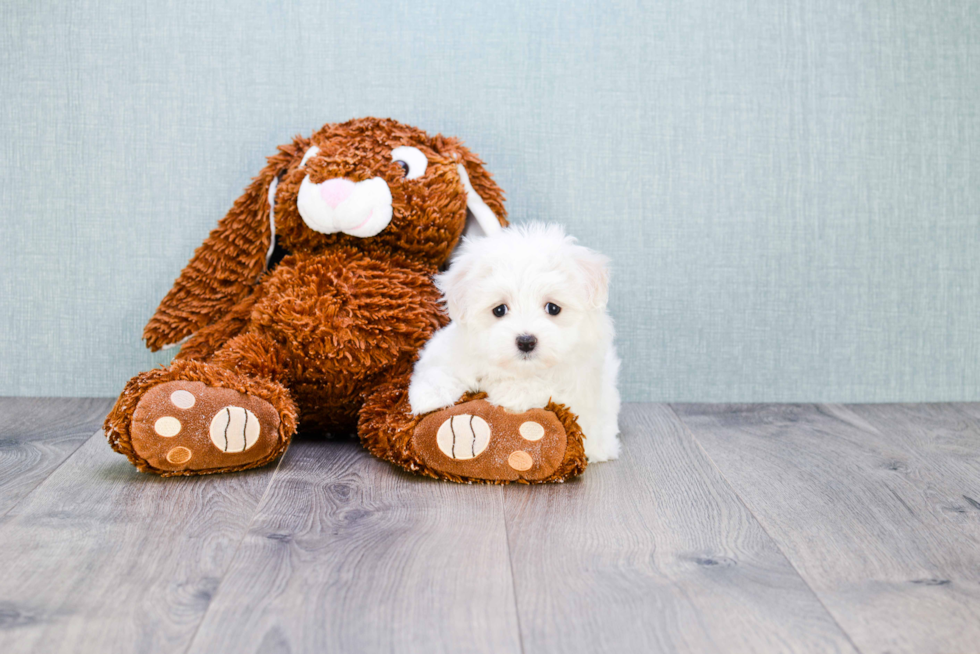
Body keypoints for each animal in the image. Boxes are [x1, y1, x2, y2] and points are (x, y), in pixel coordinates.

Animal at [410, 223, 624, 464]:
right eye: (499, 310)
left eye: (553, 308)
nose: (526, 341)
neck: (518, 370)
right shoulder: (450, 349)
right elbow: (437, 369)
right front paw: (428, 396)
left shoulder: (578, 379)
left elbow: (546, 387)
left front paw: (507, 391)